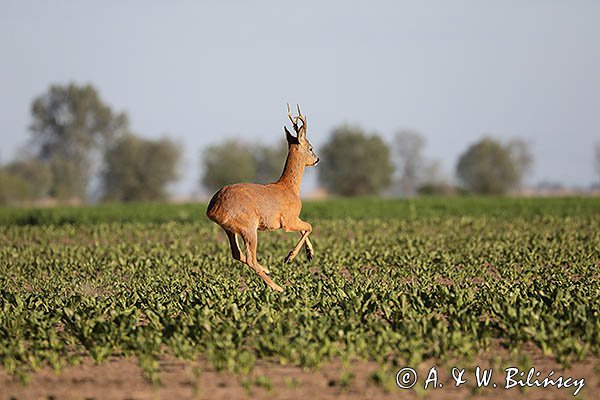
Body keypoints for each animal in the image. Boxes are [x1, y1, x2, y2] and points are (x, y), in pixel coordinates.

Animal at [206, 104, 318, 292]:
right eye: (310, 147)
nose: (317, 159)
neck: (290, 188)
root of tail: (213, 209)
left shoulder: (294, 217)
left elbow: (305, 228)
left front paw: (310, 254)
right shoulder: (287, 221)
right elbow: (309, 226)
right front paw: (289, 257)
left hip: (230, 229)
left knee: (237, 254)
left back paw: (267, 270)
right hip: (248, 227)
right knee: (250, 258)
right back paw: (277, 287)